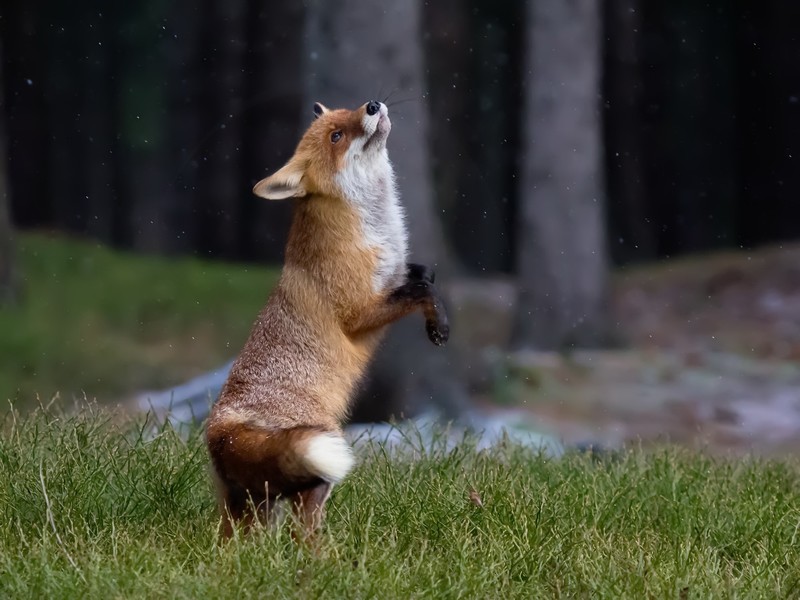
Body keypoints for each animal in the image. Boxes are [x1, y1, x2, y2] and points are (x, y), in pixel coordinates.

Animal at [205, 99, 449, 539]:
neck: (374, 230)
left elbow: (423, 275)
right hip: (320, 454)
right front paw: (440, 327)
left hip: (250, 502)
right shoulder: (359, 312)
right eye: (336, 136)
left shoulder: (394, 277)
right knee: (306, 524)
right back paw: (329, 554)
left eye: (349, 111)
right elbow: (423, 290)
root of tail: (219, 427)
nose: (373, 104)